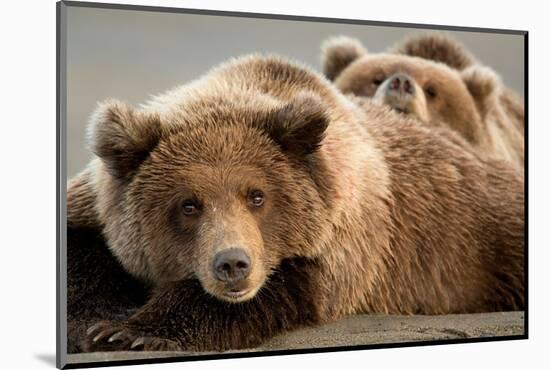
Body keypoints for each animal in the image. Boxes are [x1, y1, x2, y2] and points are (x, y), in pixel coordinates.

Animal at [69, 53, 528, 352]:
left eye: (257, 196)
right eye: (188, 204)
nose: (232, 264)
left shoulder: (343, 237)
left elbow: (286, 287)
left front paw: (136, 330)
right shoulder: (95, 204)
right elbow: (82, 254)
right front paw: (101, 323)